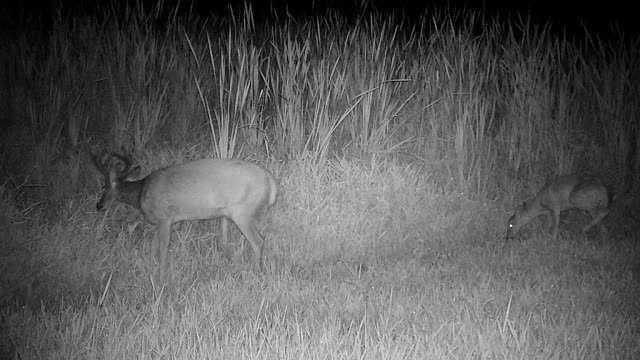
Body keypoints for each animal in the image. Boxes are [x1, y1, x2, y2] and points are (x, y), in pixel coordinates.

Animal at [90, 150, 278, 282]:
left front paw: (161, 279)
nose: (98, 206)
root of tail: (271, 181)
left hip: (241, 211)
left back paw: (256, 273)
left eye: (103, 187)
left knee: (258, 241)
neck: (141, 193)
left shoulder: (165, 218)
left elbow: (163, 250)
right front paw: (150, 268)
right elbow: (153, 248)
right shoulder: (159, 222)